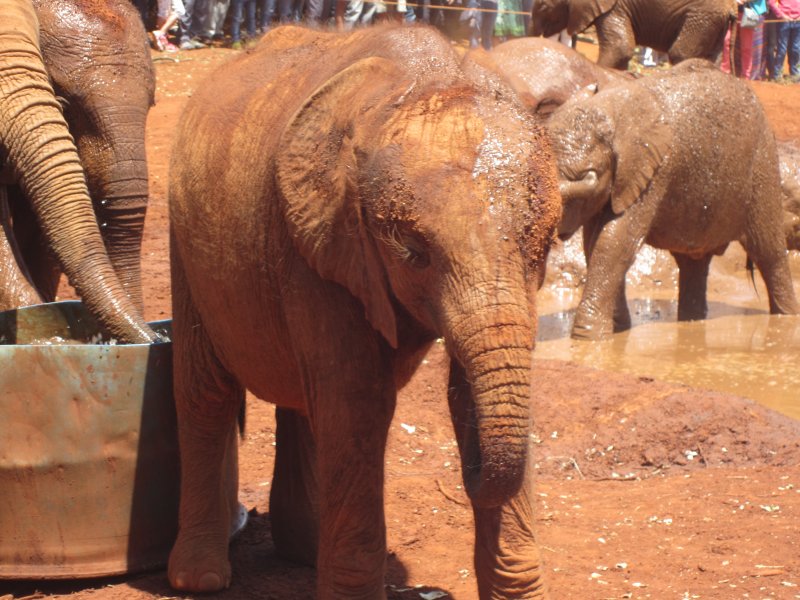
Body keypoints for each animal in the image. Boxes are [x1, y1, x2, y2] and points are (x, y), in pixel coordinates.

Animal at [167, 24, 561, 599]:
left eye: (546, 242)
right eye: (413, 252)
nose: (469, 469)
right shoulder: (321, 240)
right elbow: (357, 402)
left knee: (303, 402)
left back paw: (304, 551)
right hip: (185, 239)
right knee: (207, 392)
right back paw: (200, 577)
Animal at [546, 59, 798, 340]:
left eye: (587, 175)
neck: (612, 108)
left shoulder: (655, 170)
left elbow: (614, 242)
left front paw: (588, 339)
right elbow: (593, 243)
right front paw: (617, 329)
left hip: (762, 165)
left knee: (769, 253)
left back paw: (786, 320)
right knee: (693, 265)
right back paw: (692, 323)